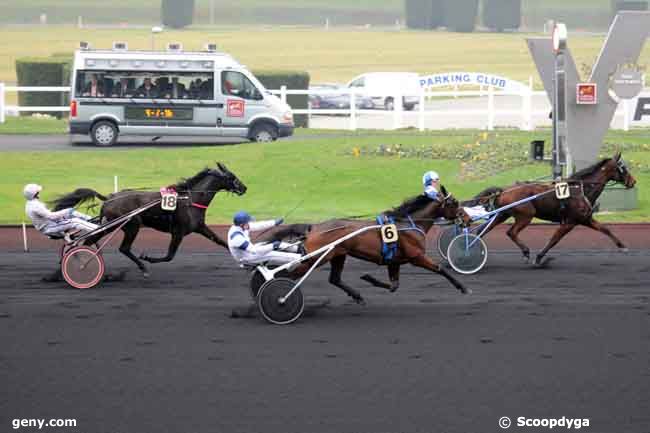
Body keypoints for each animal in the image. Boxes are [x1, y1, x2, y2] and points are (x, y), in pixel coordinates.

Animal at [52, 160, 246, 276]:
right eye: (232, 177)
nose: (244, 188)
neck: (190, 199)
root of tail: (110, 198)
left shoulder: (199, 227)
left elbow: (221, 241)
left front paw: (242, 261)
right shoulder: (178, 232)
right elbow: (169, 256)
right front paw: (148, 258)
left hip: (112, 225)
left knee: (90, 241)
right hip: (130, 225)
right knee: (120, 247)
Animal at [268, 186, 470, 304]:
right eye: (454, 203)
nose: (467, 218)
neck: (409, 224)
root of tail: (314, 227)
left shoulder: (394, 261)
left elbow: (394, 286)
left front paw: (368, 278)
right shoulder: (416, 256)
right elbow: (439, 269)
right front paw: (463, 287)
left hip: (338, 255)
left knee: (334, 279)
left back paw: (357, 296)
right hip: (316, 257)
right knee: (286, 274)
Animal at [468, 154, 636, 264]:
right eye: (623, 168)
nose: (633, 181)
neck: (581, 190)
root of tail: (503, 190)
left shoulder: (585, 219)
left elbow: (605, 229)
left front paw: (622, 246)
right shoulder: (570, 222)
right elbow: (554, 239)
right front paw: (539, 257)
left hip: (501, 214)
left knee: (481, 231)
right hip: (525, 216)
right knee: (511, 232)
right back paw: (525, 252)